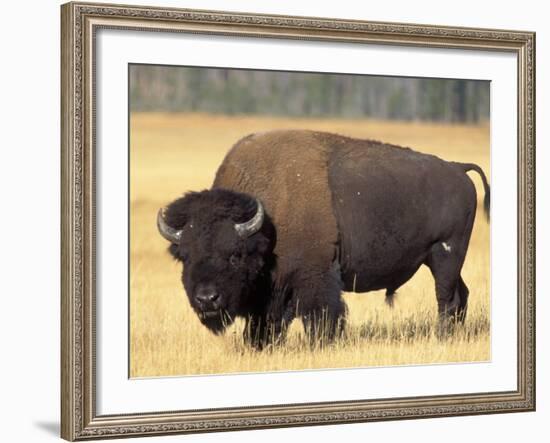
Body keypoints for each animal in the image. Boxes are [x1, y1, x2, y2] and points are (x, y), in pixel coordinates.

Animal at [156, 130, 492, 348]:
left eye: (235, 255)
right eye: (185, 256)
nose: (207, 299)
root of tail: (457, 169)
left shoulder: (314, 277)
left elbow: (321, 316)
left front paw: (323, 344)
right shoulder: (273, 292)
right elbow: (267, 323)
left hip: (445, 254)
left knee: (446, 298)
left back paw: (442, 338)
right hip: (440, 260)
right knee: (461, 295)